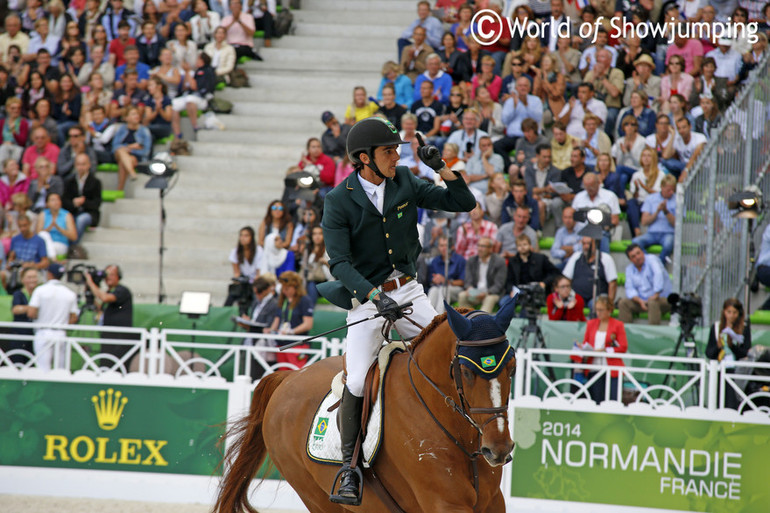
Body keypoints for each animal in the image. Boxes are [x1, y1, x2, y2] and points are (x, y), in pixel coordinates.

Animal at [214, 306, 516, 510]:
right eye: (465, 372)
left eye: (512, 368)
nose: (498, 449)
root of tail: (287, 378)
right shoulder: (445, 502)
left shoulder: (493, 502)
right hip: (317, 497)